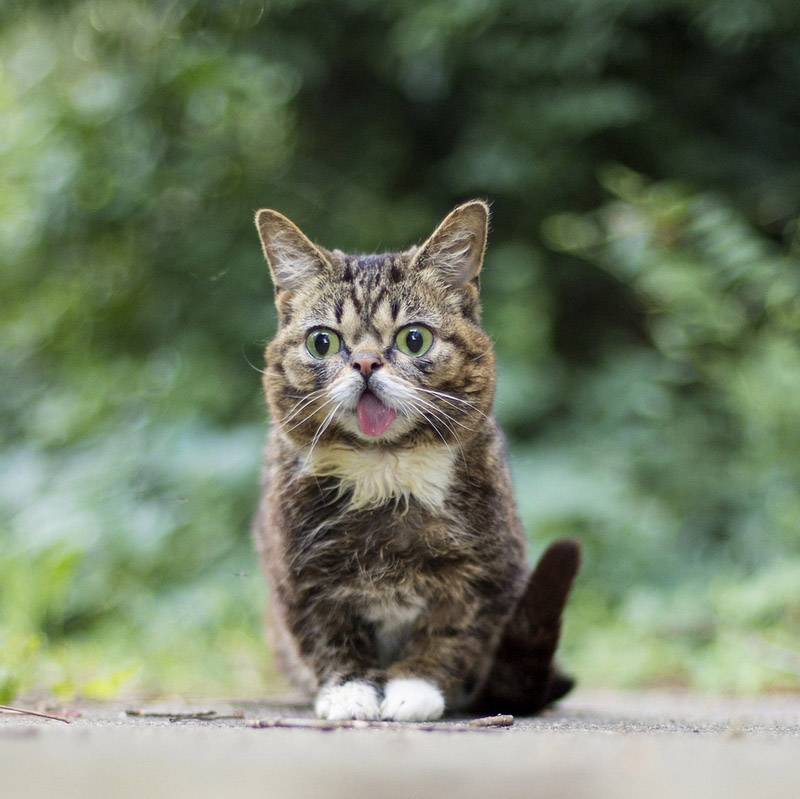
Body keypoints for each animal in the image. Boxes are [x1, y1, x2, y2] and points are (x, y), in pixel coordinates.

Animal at [253, 202, 580, 724]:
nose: (366, 363)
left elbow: (449, 634)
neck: (384, 472)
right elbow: (328, 633)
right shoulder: (298, 573)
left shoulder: (487, 574)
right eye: (323, 342)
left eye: (413, 339)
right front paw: (349, 691)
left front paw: (414, 688)